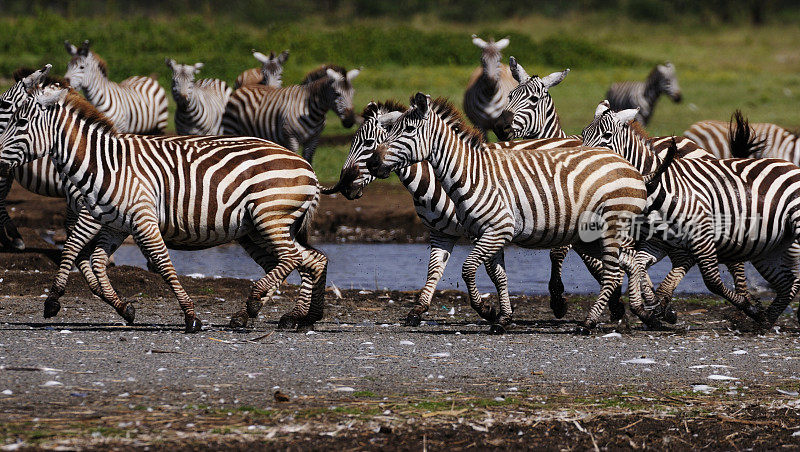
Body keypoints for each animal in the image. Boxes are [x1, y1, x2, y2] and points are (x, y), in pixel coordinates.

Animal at [0, 85, 328, 332]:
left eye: (20, 122)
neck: (103, 164)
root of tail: (308, 167)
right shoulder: (113, 223)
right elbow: (92, 259)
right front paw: (119, 307)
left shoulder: (138, 218)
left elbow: (161, 263)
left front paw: (191, 316)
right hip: (257, 229)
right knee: (311, 260)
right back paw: (297, 318)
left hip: (269, 218)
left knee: (292, 258)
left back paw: (259, 302)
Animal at [225, 65, 362, 161]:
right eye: (337, 94)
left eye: (353, 93)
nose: (350, 121)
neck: (313, 111)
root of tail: (243, 87)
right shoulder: (291, 138)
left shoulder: (313, 140)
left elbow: (308, 161)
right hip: (231, 128)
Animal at [322, 99, 584, 324]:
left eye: (368, 143)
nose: (344, 185)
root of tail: (574, 138)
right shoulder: (440, 232)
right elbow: (435, 270)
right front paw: (418, 310)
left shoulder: (485, 230)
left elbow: (490, 271)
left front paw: (490, 311)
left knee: (562, 251)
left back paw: (559, 301)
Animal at [368, 93, 668, 332]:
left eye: (407, 129)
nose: (372, 163)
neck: (471, 174)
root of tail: (630, 166)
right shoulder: (490, 234)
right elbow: (498, 276)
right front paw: (503, 318)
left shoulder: (496, 230)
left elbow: (468, 269)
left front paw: (486, 310)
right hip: (591, 238)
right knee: (630, 265)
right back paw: (646, 315)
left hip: (611, 229)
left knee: (613, 274)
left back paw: (589, 323)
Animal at [580, 101, 800, 328]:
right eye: (583, 134)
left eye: (607, 135)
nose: (585, 162)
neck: (662, 186)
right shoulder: (657, 242)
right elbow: (638, 266)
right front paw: (651, 307)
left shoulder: (701, 236)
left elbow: (712, 280)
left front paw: (750, 308)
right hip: (766, 245)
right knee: (786, 282)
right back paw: (766, 319)